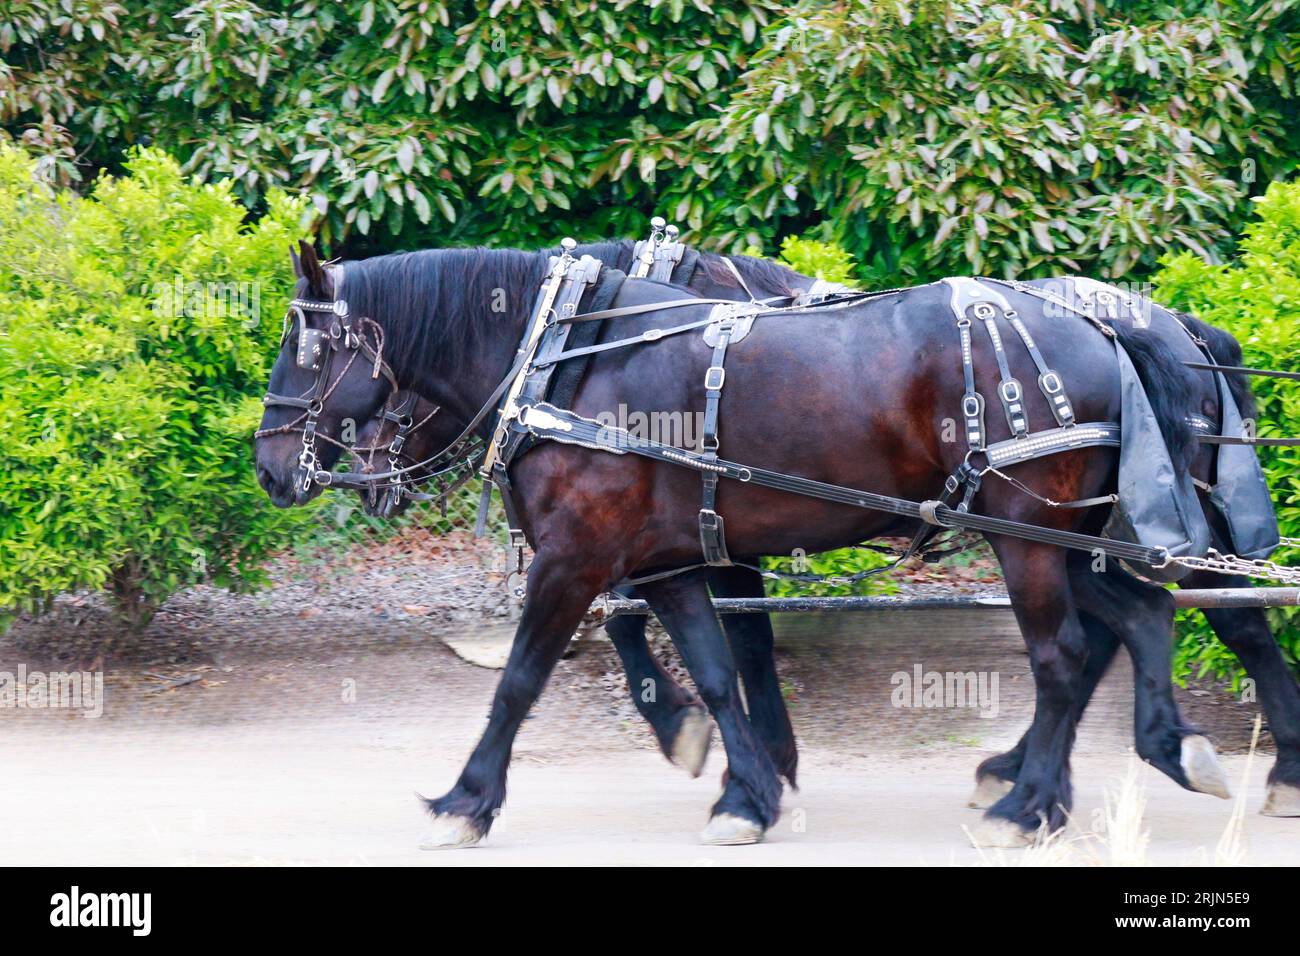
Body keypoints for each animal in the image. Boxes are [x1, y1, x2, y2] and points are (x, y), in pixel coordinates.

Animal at [258, 243, 1222, 848]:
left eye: (306, 348)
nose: (269, 466)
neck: (570, 358)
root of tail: (1105, 327)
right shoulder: (674, 563)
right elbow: (720, 671)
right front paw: (748, 792)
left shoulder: (575, 558)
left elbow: (521, 681)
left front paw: (466, 799)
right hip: (1060, 537)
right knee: (1141, 613)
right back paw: (1154, 752)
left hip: (1023, 536)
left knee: (1063, 657)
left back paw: (1028, 805)